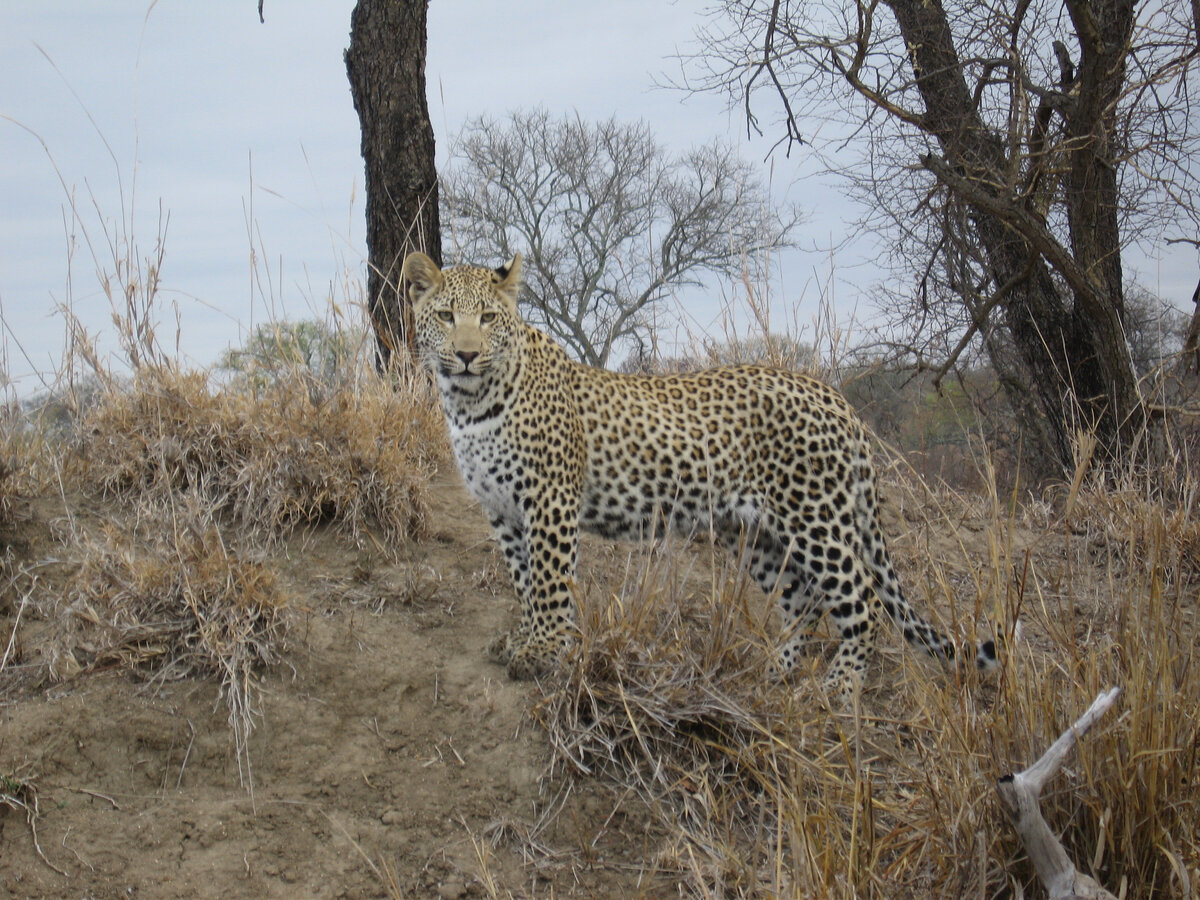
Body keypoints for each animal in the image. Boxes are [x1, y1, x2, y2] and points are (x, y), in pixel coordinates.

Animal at [403, 254, 1003, 696]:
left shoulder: (548, 500)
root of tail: (834, 396)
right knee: (804, 604)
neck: (468, 404)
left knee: (863, 602)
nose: (465, 355)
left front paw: (545, 650)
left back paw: (839, 687)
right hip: (760, 534)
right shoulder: (502, 511)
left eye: (487, 319)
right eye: (445, 316)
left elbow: (550, 582)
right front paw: (524, 640)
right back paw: (775, 670)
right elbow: (524, 582)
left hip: (817, 520)